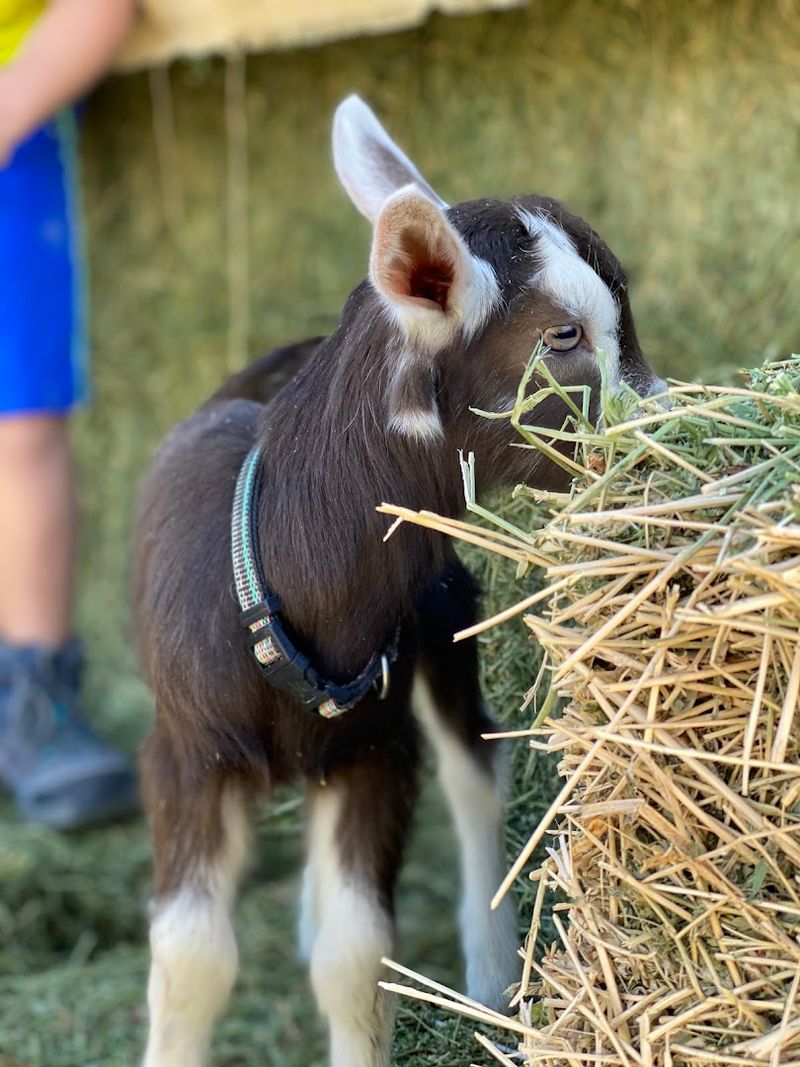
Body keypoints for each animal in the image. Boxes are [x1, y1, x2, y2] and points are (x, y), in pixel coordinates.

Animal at [133, 95, 664, 1067]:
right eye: (563, 335)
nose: (664, 425)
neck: (276, 573)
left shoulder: (377, 750)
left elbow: (357, 959)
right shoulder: (183, 750)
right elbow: (190, 958)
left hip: (442, 613)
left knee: (473, 771)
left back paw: (491, 969)